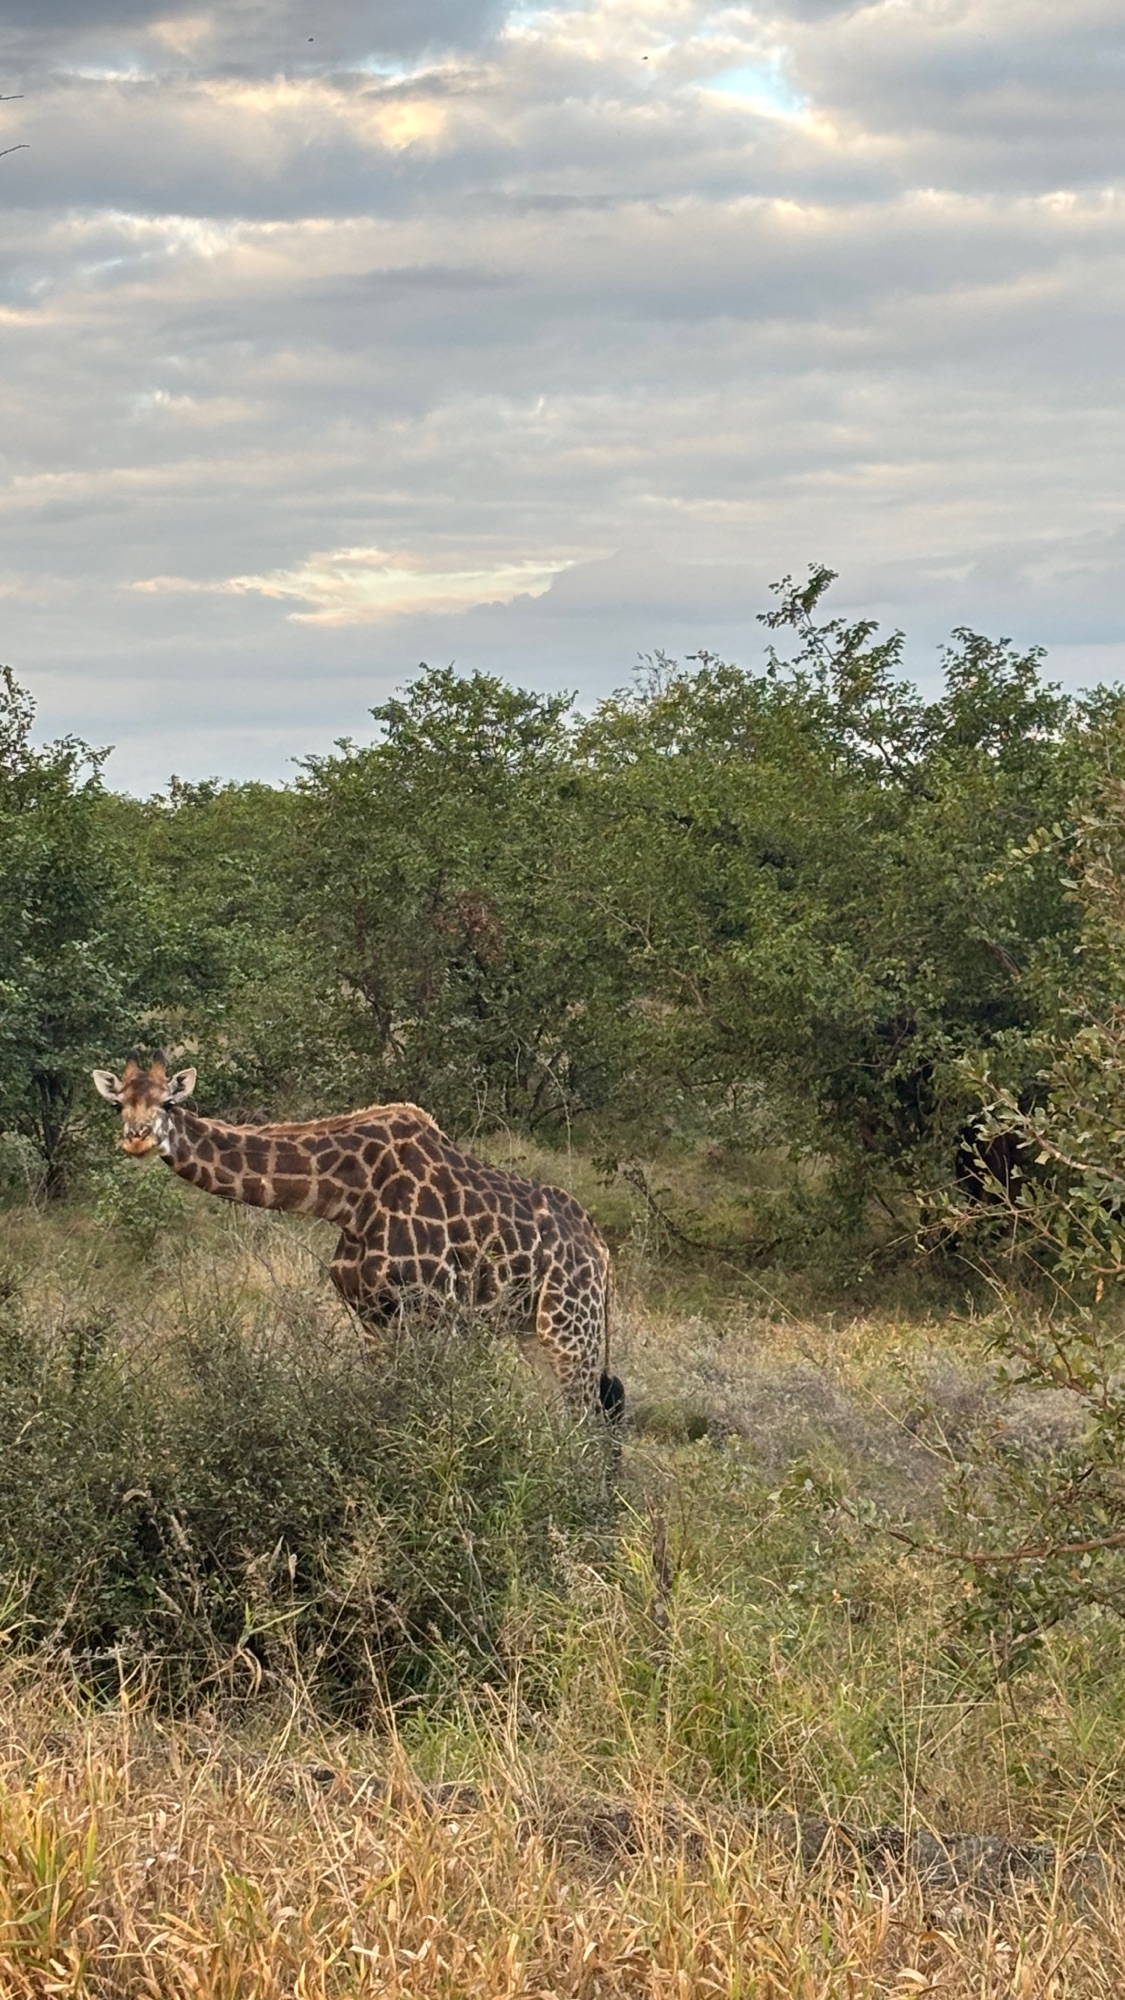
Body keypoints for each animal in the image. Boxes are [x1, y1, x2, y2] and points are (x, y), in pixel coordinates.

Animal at [91, 1055, 624, 1422]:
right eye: (118, 1104)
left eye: (168, 1102)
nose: (136, 1137)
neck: (348, 1196)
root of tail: (600, 1249)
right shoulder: (374, 1315)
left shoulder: (430, 1312)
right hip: (529, 1329)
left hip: (568, 1325)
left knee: (587, 1422)